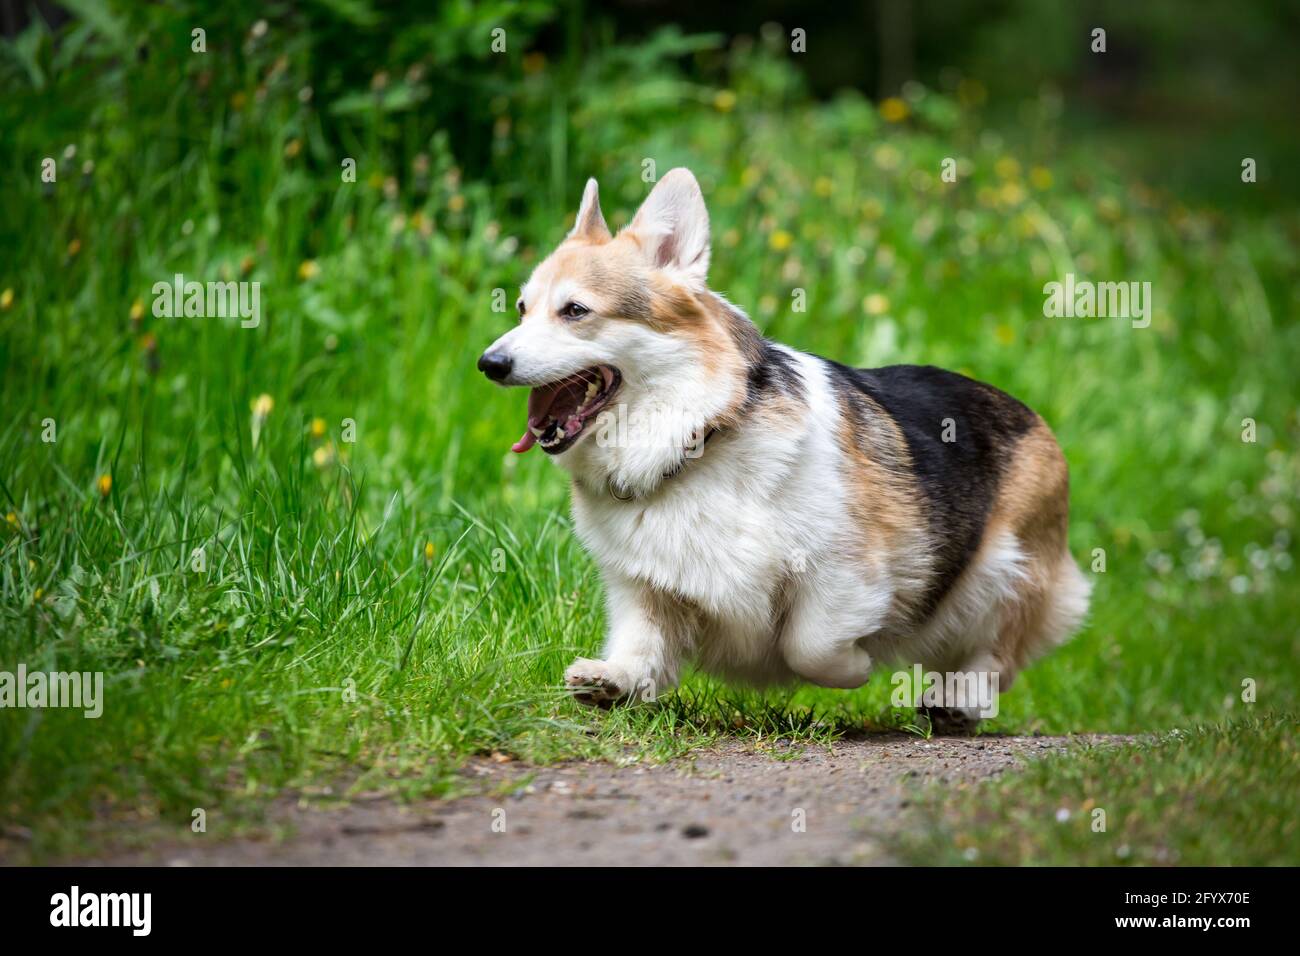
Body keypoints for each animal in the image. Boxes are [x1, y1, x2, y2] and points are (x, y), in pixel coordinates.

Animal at [478, 167, 1086, 733]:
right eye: (522, 308)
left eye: (575, 311)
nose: (490, 364)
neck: (695, 440)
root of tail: (1031, 414)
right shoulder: (644, 588)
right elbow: (641, 644)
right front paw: (612, 680)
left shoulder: (843, 569)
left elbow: (809, 645)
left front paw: (858, 666)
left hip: (1006, 568)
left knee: (997, 651)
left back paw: (959, 699)